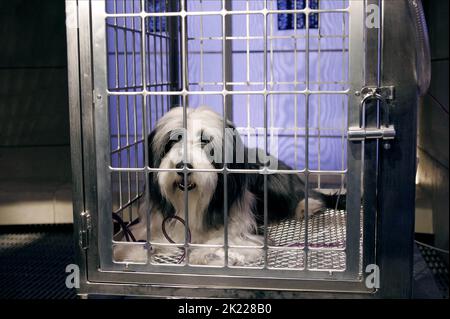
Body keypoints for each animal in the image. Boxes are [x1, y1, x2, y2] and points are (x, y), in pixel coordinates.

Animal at [114, 106, 342, 266]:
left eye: (205, 141)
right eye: (172, 140)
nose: (182, 167)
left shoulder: (244, 229)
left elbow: (226, 240)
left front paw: (201, 253)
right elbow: (144, 234)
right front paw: (127, 250)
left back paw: (306, 206)